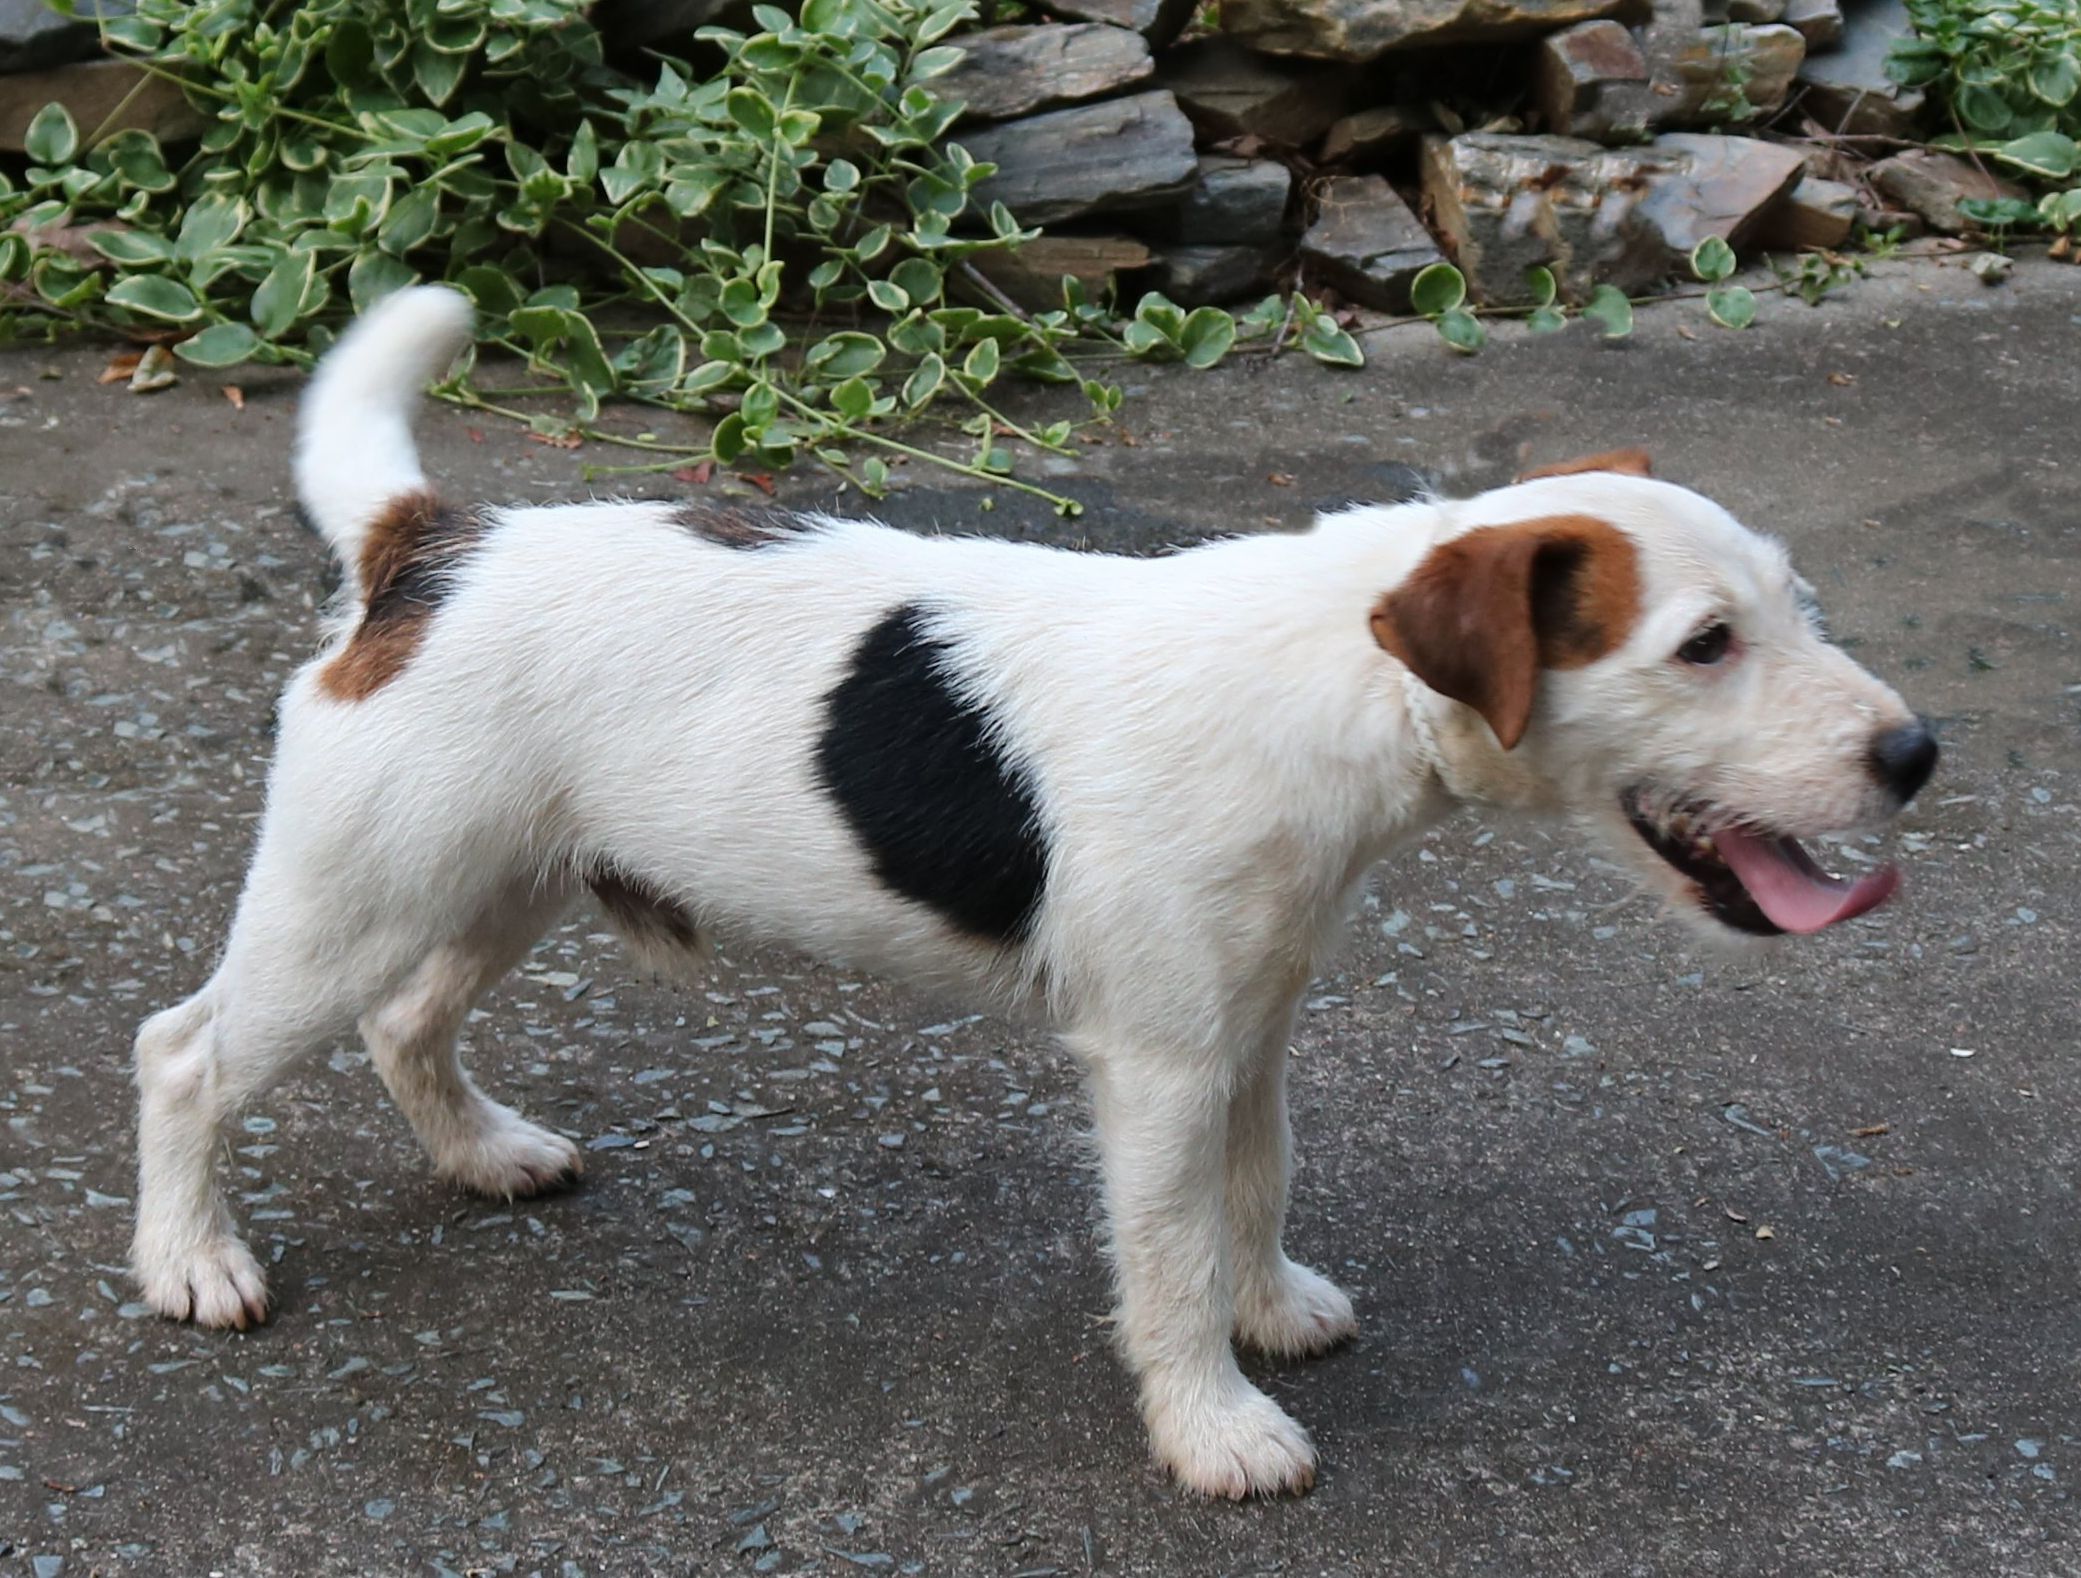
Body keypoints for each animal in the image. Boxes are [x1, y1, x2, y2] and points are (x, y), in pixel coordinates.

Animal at [130, 287, 1931, 1507]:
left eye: (1797, 603)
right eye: (1703, 644)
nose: (1916, 755)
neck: (1324, 679)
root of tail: (426, 545)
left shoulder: (1251, 1031)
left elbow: (1256, 1192)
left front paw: (1272, 1307)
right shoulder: (1162, 1068)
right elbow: (1169, 1255)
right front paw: (1214, 1422)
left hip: (500, 881)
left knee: (407, 1023)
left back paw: (484, 1151)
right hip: (356, 894)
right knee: (188, 1053)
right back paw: (192, 1260)